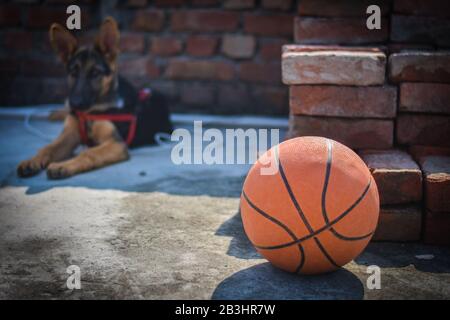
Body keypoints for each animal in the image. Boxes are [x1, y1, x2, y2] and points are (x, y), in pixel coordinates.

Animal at [17, 17, 172, 179]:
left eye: (95, 73)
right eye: (73, 73)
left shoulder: (116, 144)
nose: (75, 104)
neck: (89, 113)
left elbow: (89, 153)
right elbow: (48, 148)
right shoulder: (69, 135)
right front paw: (32, 161)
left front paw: (63, 165)